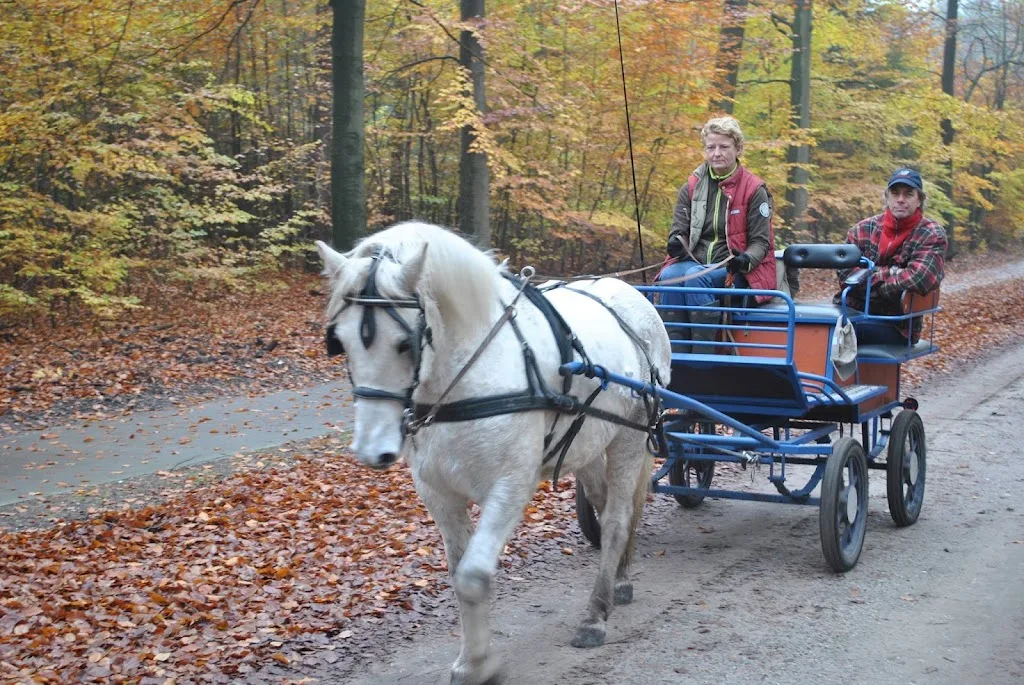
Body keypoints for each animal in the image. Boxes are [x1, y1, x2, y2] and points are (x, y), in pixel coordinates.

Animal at [315, 222, 671, 685]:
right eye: (338, 341)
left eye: (404, 343)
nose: (373, 450)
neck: (469, 376)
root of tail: (632, 295)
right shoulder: (438, 493)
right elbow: (457, 574)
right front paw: (471, 658)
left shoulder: (510, 487)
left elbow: (473, 576)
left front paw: (481, 664)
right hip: (591, 443)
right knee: (607, 502)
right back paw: (620, 581)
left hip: (629, 438)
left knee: (616, 519)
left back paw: (595, 614)